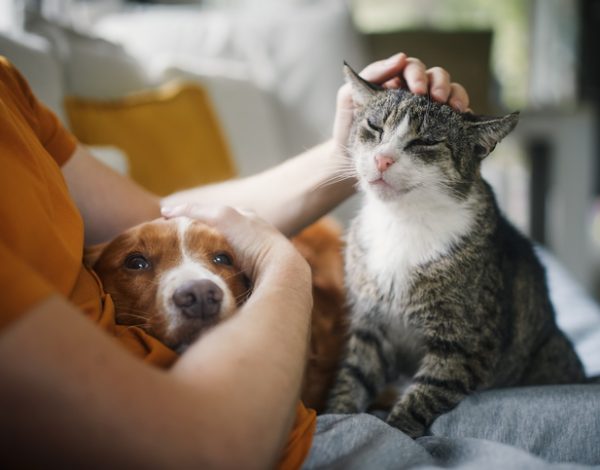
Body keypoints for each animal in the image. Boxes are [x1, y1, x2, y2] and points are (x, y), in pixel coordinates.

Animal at [324, 64, 584, 438]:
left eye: (426, 141)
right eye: (374, 127)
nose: (383, 159)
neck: (403, 221)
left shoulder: (464, 344)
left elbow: (422, 397)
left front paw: (397, 430)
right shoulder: (371, 327)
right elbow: (352, 378)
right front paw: (336, 417)